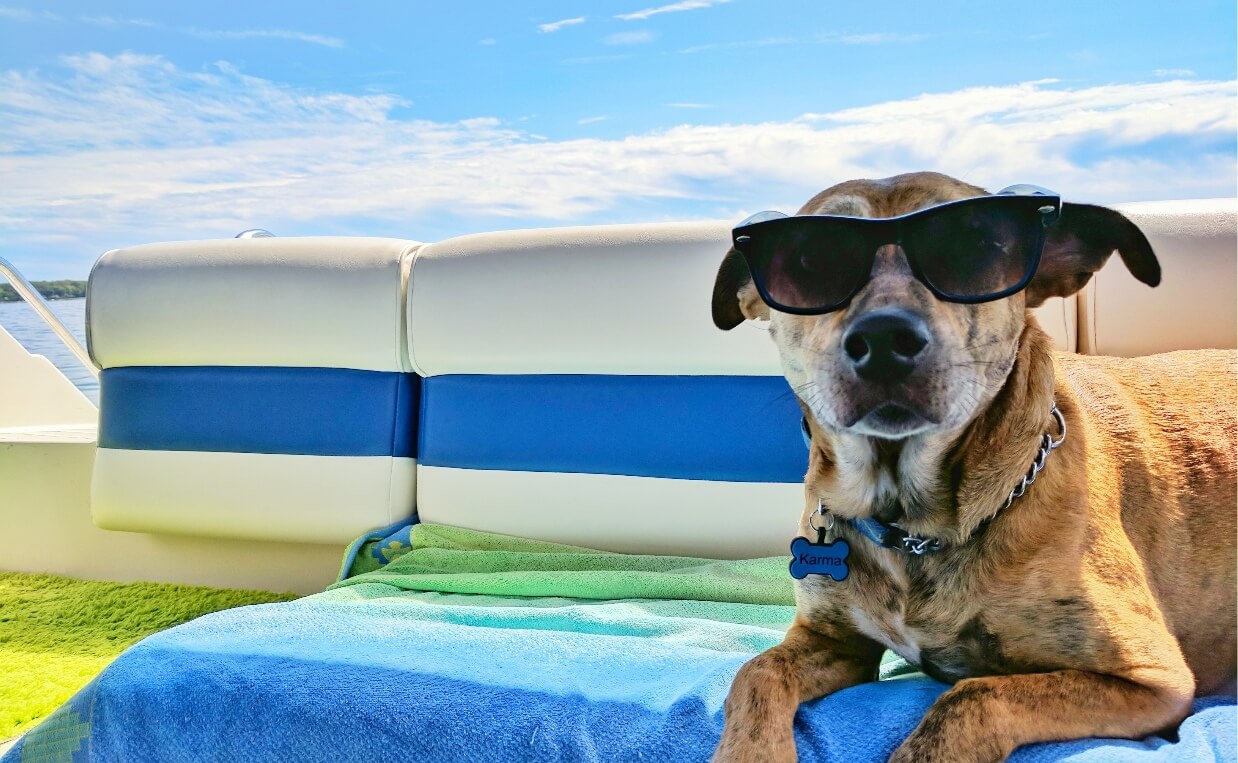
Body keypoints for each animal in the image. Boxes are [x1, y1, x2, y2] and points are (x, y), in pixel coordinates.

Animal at [708, 173, 1238, 763]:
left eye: (975, 244)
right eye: (809, 259)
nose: (884, 340)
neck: (910, 526)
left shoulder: (1152, 676)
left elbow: (972, 696)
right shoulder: (834, 641)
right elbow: (756, 671)